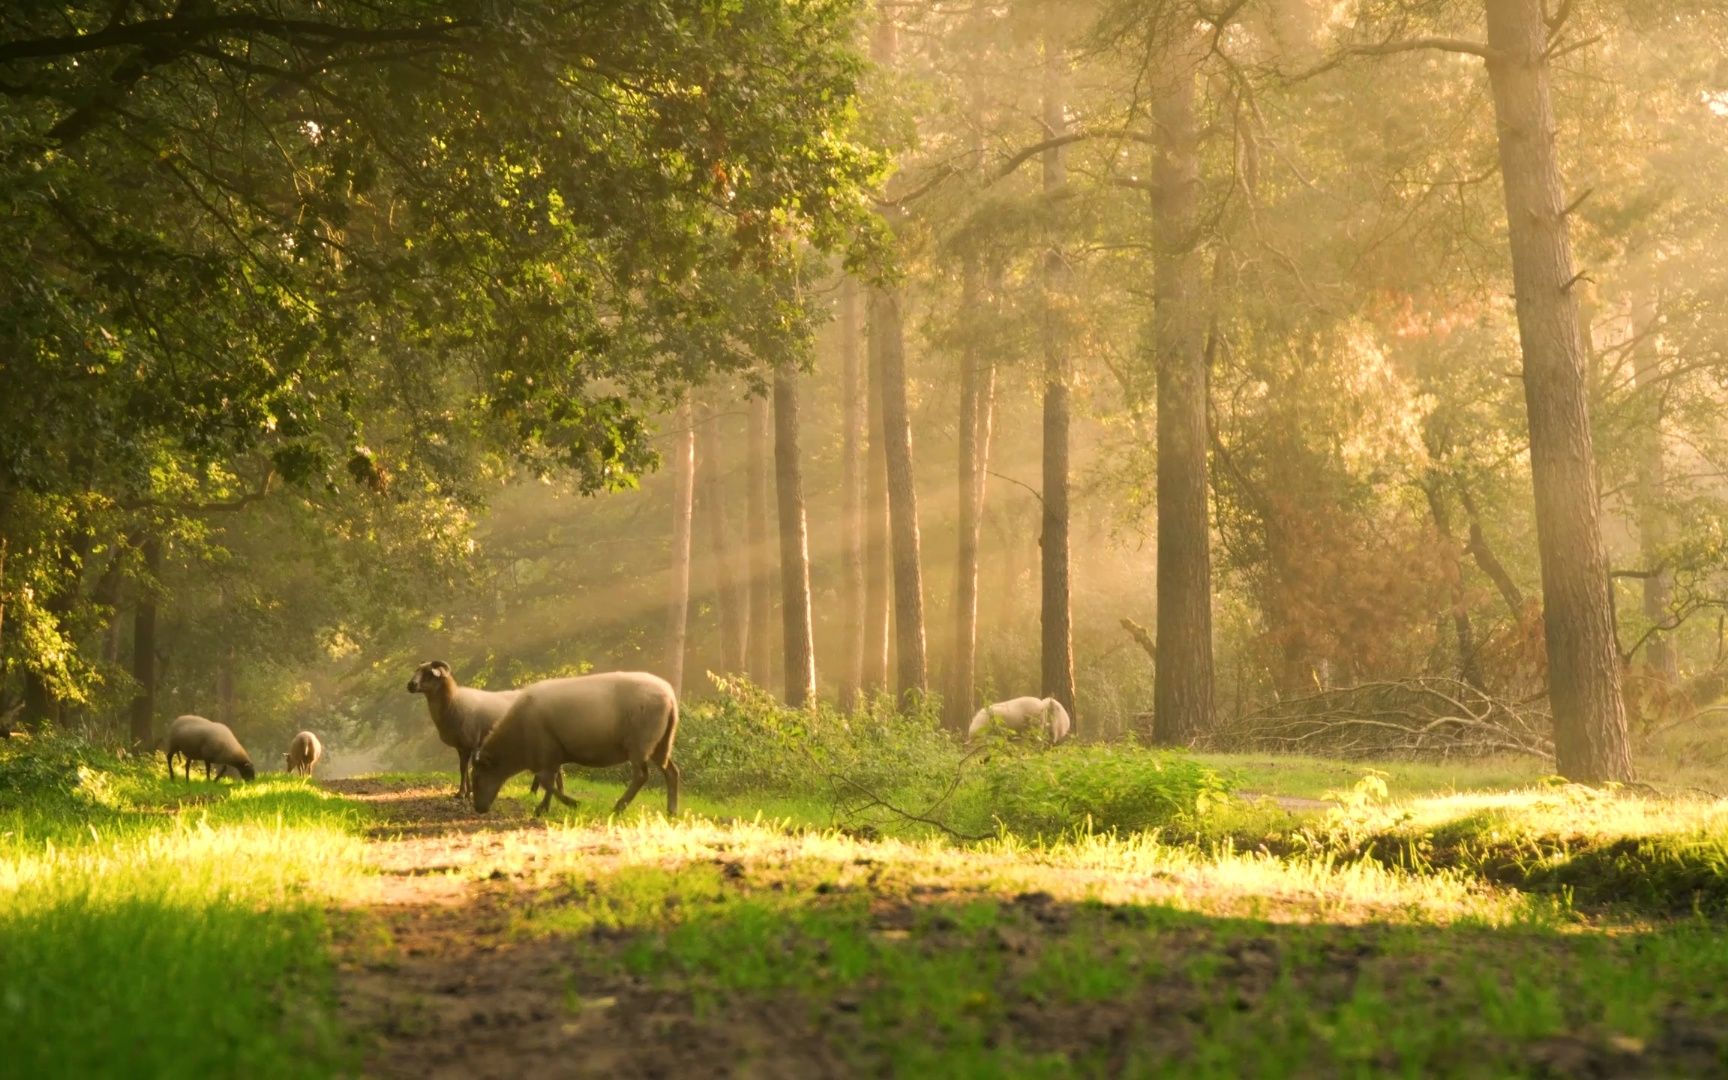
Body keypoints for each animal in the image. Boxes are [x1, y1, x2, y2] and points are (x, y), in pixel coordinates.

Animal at [407, 656, 521, 801]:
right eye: (417, 670)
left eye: (429, 673)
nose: (410, 685)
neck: (452, 702)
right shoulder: (462, 747)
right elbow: (464, 769)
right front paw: (467, 792)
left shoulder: (469, 744)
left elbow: (464, 768)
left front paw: (461, 793)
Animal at [476, 670, 684, 812]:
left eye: (479, 773)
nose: (478, 809)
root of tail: (670, 697)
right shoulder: (554, 754)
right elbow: (554, 780)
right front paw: (546, 807)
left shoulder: (546, 752)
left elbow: (546, 781)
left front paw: (570, 804)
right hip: (660, 744)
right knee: (671, 772)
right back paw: (671, 811)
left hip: (639, 743)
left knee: (641, 776)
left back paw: (618, 808)